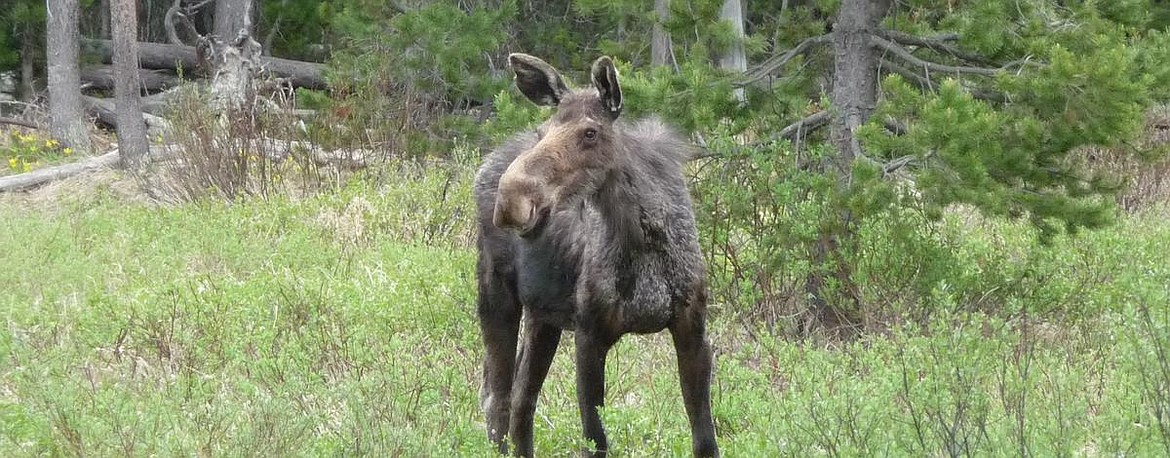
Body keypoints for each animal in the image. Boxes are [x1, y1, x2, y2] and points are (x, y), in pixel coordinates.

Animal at [470, 52, 716, 456]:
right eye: (543, 131)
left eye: (590, 132)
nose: (511, 199)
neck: (645, 243)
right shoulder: (590, 333)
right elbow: (594, 438)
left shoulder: (691, 326)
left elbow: (705, 439)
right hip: (495, 291)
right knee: (497, 399)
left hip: (543, 316)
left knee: (522, 399)